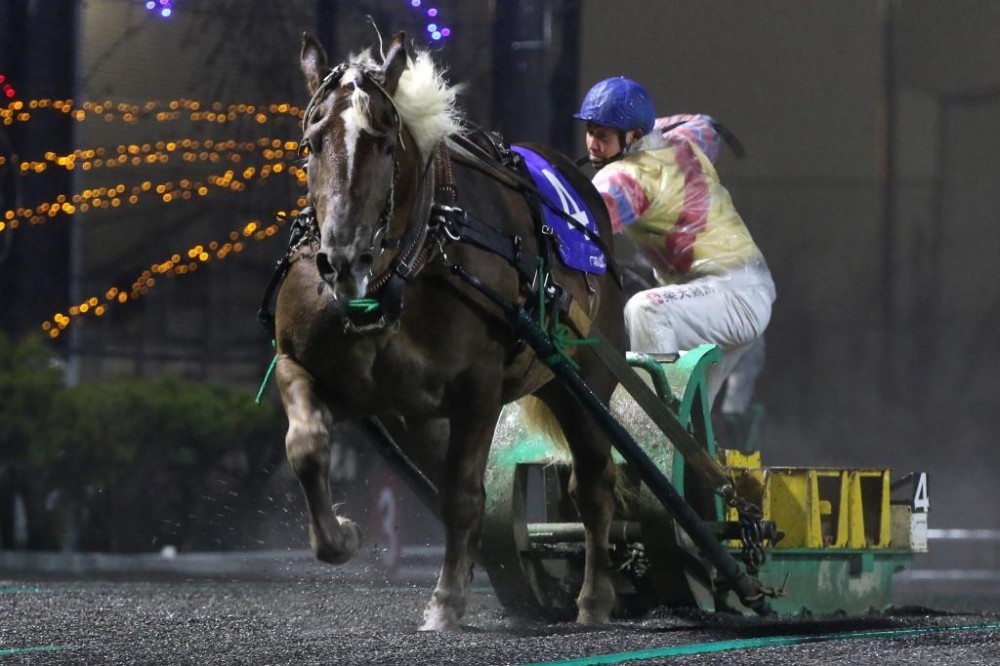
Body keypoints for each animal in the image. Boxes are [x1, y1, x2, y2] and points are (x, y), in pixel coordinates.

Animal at [272, 31, 627, 631]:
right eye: (311, 144)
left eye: (384, 144)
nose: (342, 259)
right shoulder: (316, 370)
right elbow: (306, 447)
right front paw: (340, 536)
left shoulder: (478, 386)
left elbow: (463, 494)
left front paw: (445, 602)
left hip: (584, 381)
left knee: (594, 483)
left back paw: (595, 598)